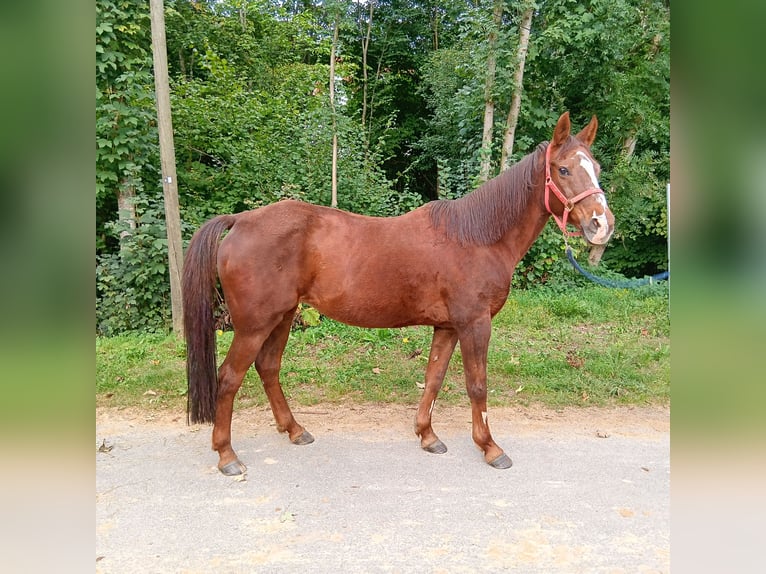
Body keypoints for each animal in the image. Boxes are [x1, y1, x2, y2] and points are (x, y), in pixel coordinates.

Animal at [183, 112, 616, 476]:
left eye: (595, 169)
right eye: (563, 169)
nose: (602, 224)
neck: (478, 237)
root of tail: (240, 221)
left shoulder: (448, 327)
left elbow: (433, 378)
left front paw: (427, 435)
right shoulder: (474, 324)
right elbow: (477, 385)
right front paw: (490, 448)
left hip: (283, 316)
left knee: (268, 368)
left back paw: (294, 430)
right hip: (254, 324)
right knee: (229, 378)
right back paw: (227, 455)